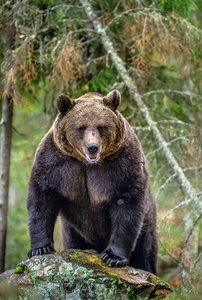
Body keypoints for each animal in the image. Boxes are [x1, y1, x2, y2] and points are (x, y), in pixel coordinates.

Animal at [26, 88, 158, 274]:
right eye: (81, 127)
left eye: (101, 126)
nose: (92, 147)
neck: (87, 163)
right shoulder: (56, 162)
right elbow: (41, 199)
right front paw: (40, 248)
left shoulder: (122, 164)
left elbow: (127, 204)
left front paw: (113, 257)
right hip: (73, 230)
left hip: (148, 221)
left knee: (145, 252)